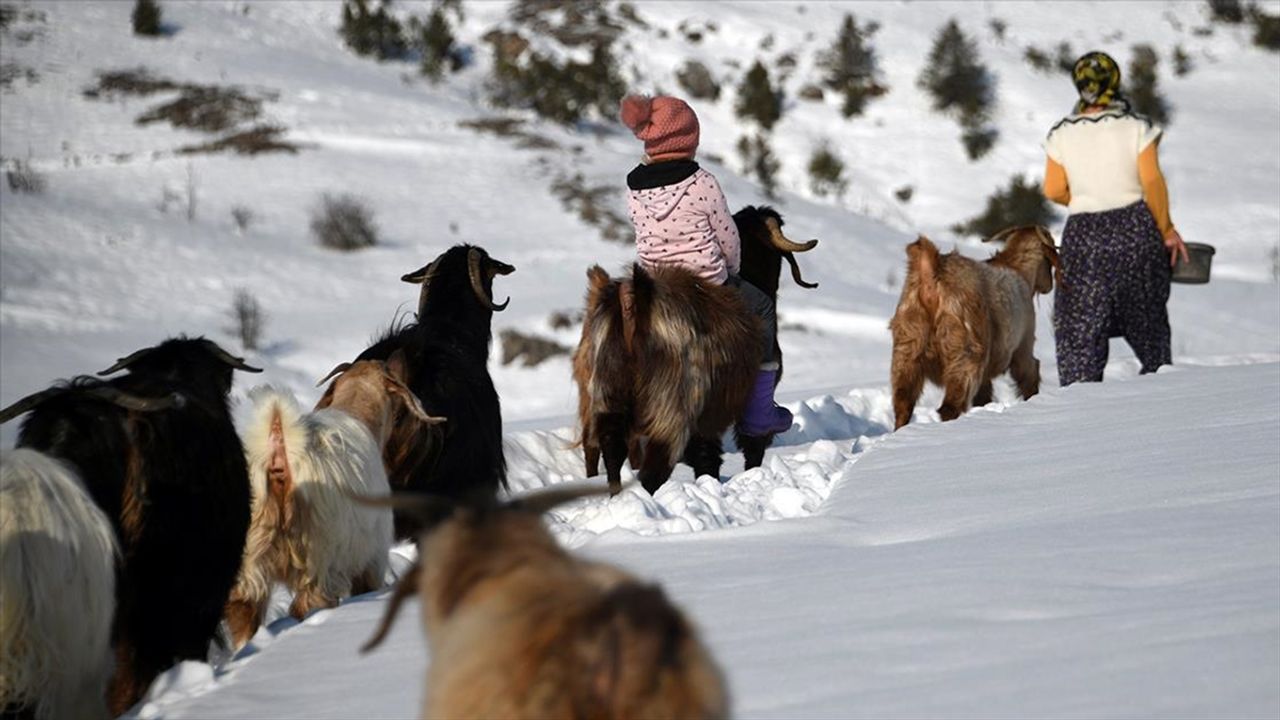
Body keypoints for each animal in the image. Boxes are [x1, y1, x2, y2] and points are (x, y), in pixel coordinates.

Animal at [573, 207, 818, 494]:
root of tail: (635, 305)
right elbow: (746, 442)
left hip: (609, 394)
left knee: (611, 450)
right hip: (671, 405)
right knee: (654, 466)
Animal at [889, 226, 1063, 429]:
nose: (1048, 287)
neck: (1017, 268)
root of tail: (933, 274)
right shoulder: (1022, 346)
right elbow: (1029, 373)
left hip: (907, 350)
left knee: (903, 404)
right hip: (964, 353)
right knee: (949, 406)